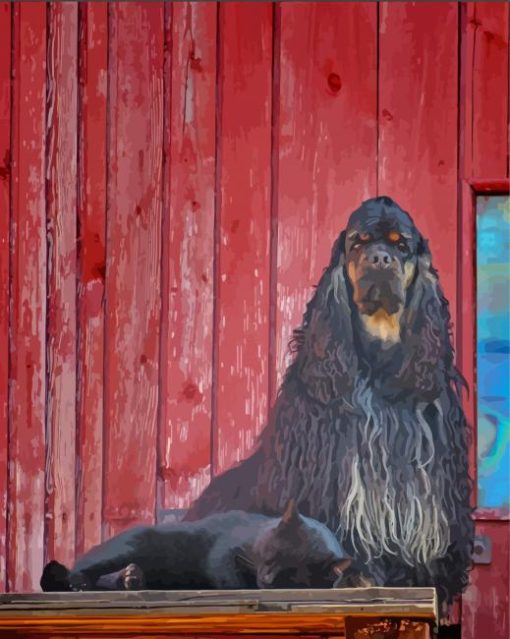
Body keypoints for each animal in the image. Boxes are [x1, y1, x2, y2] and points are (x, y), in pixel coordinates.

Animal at [39, 500, 352, 596]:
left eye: (291, 574)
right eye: (273, 555)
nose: (268, 578)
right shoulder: (223, 551)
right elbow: (228, 576)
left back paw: (132, 578)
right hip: (126, 548)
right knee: (79, 570)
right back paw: (83, 582)